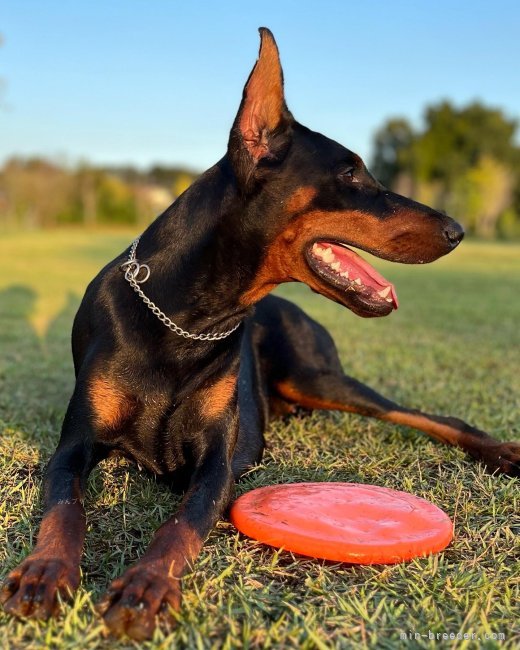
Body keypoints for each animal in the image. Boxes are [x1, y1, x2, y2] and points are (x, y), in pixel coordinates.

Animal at [2, 27, 516, 636]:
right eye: (351, 173)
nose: (457, 230)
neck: (187, 320)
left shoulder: (214, 464)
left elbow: (180, 525)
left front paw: (147, 586)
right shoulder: (74, 444)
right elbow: (64, 508)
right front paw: (45, 573)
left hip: (316, 377)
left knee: (428, 416)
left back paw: (503, 453)